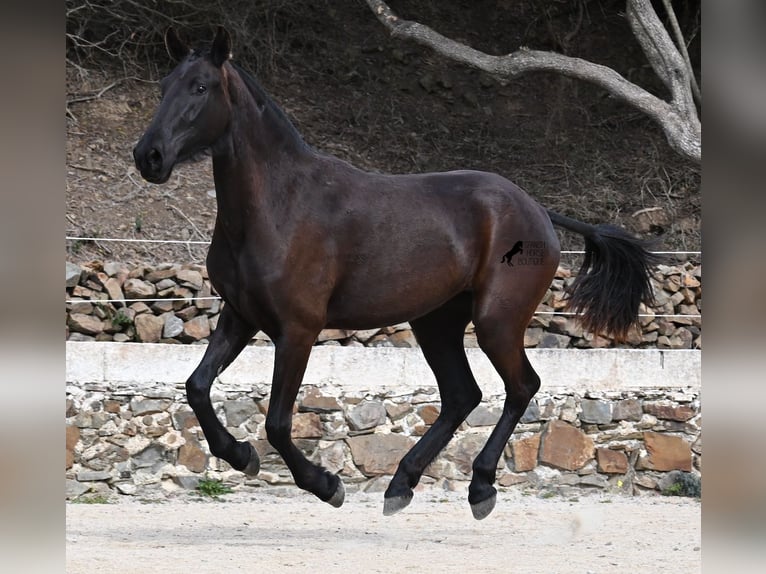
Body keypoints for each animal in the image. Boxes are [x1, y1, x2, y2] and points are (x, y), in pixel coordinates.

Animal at [132, 28, 660, 520]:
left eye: (200, 87)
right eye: (164, 86)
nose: (148, 155)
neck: (279, 205)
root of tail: (538, 211)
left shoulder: (298, 329)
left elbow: (277, 423)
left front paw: (327, 485)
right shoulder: (240, 316)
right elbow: (197, 387)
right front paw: (240, 456)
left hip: (497, 322)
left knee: (520, 387)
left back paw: (480, 488)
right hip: (436, 323)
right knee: (462, 395)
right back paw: (401, 485)